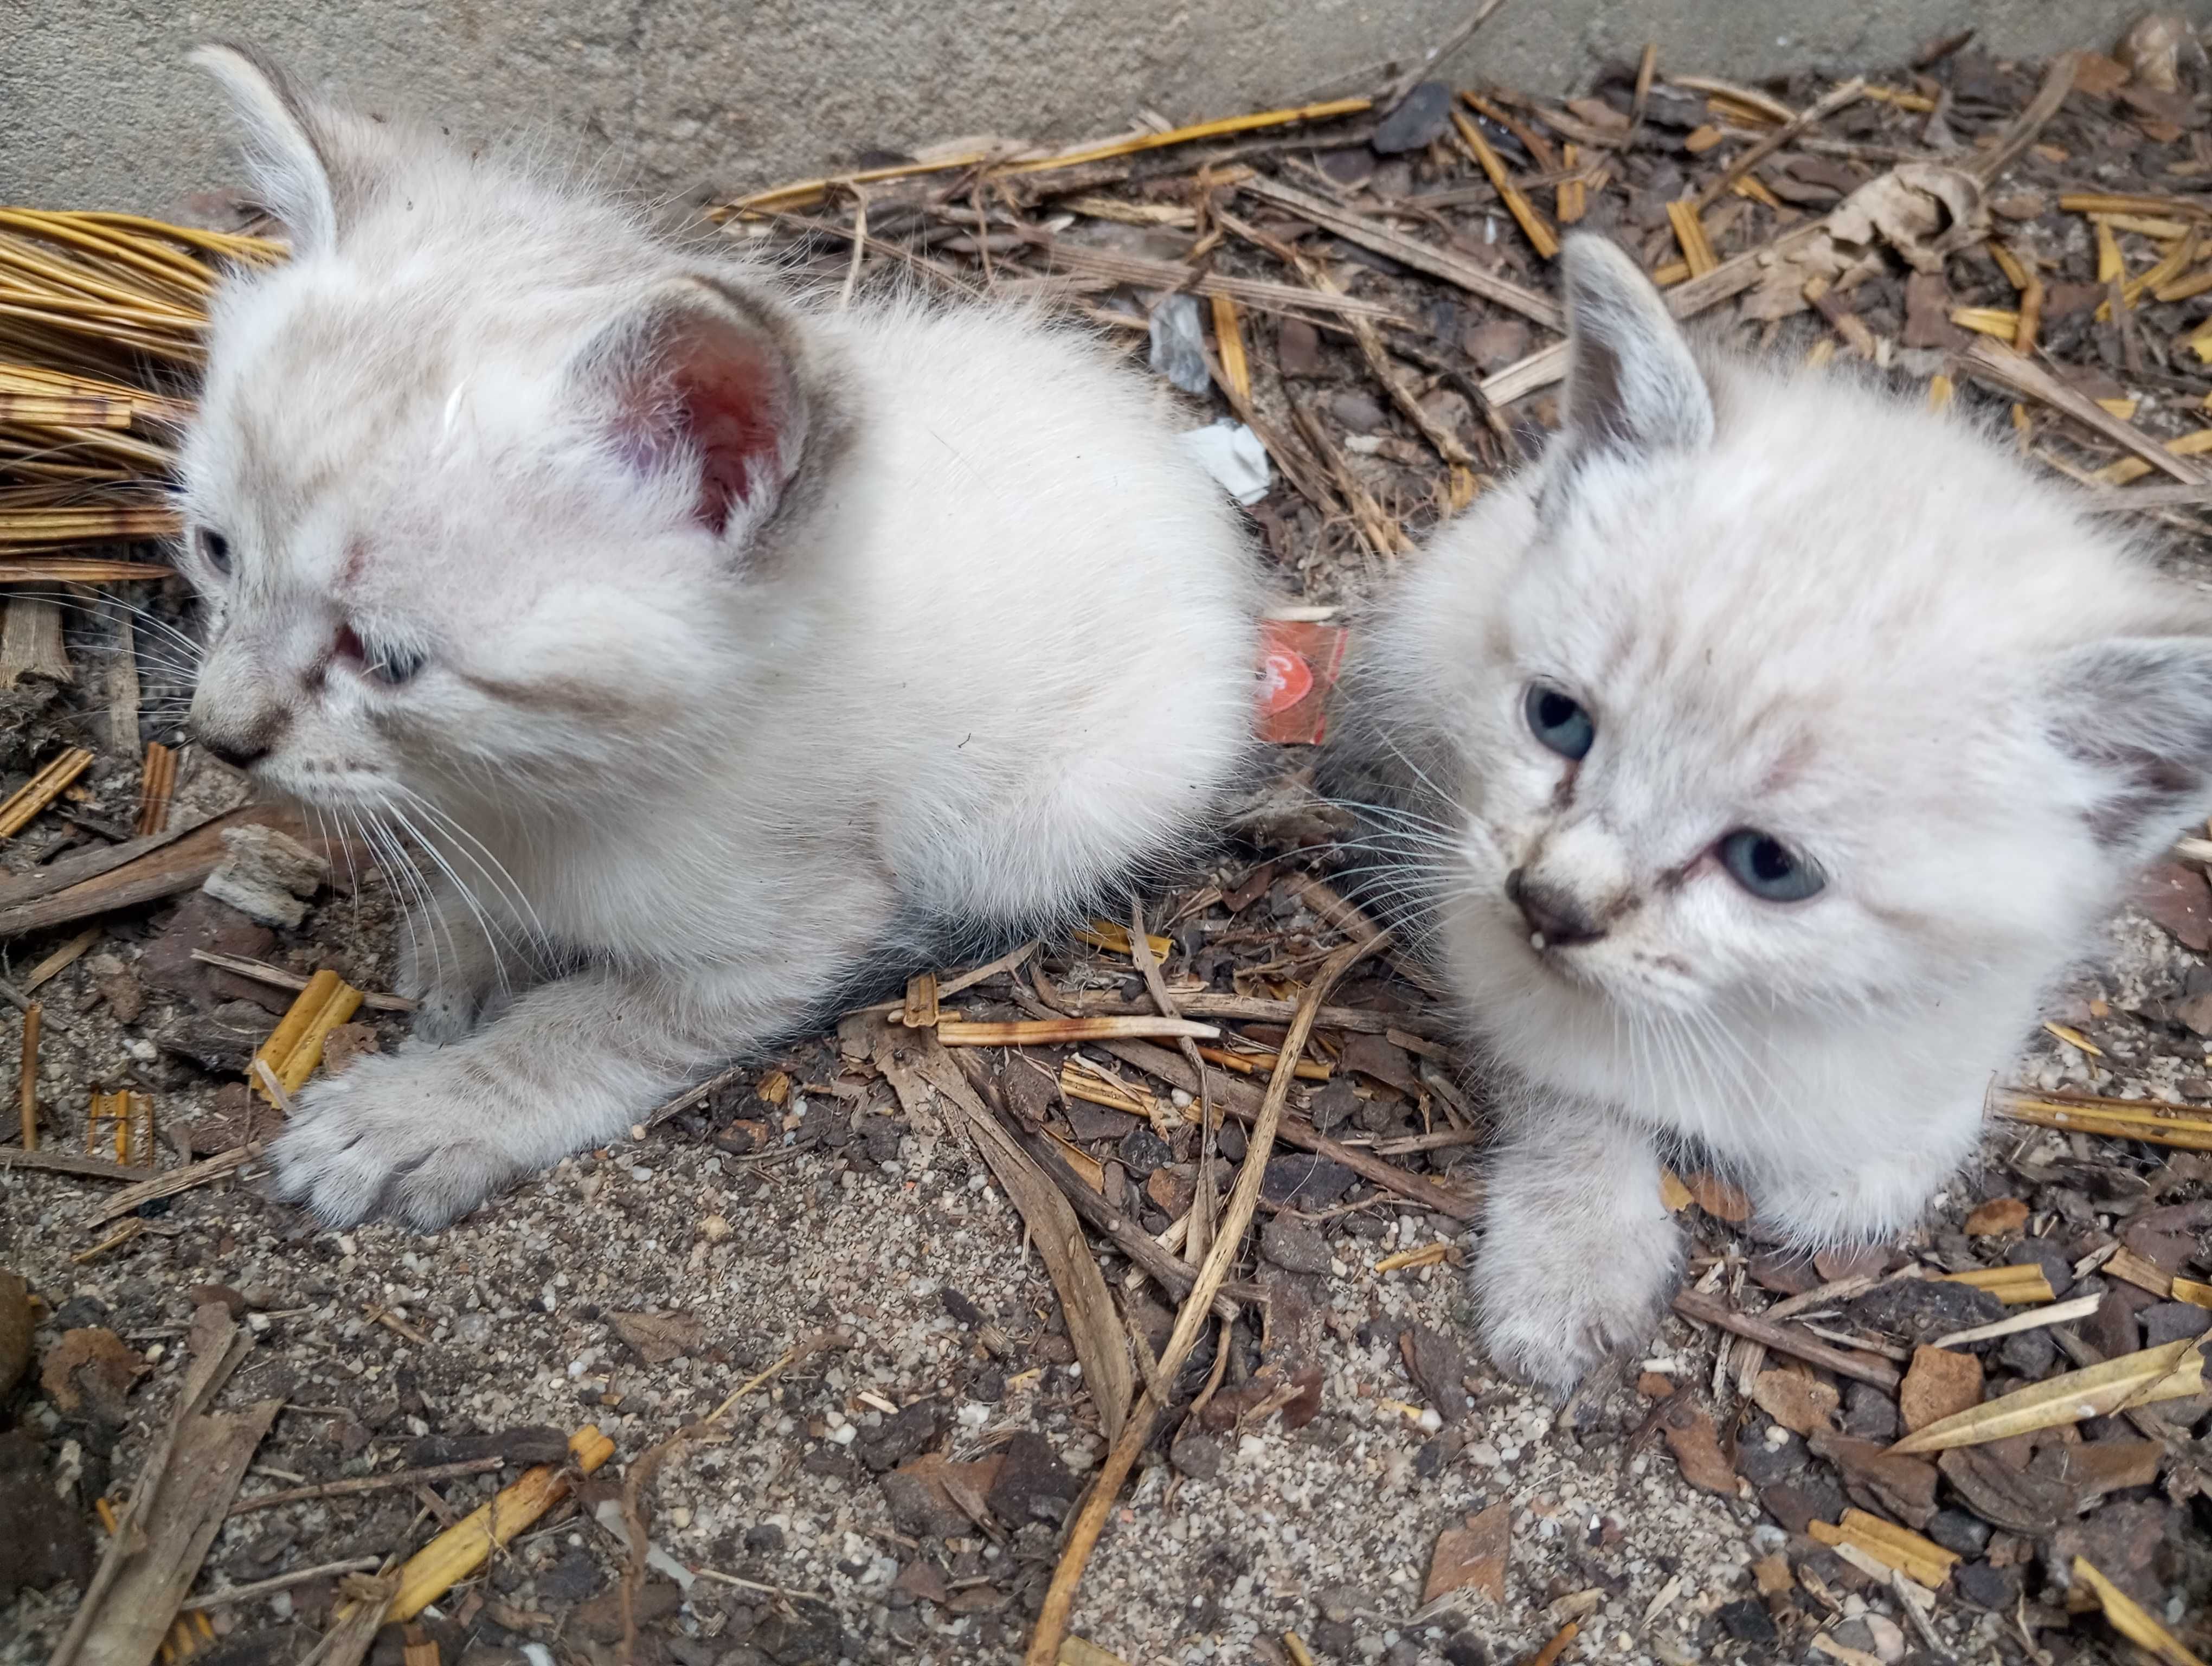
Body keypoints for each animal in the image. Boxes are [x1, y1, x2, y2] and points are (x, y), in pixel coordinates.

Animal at [177, 45, 1265, 1230]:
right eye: (216, 551)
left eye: (386, 658)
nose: (217, 734)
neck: (551, 782)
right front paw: (467, 933)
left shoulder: (791, 933)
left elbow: (586, 1028)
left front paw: (418, 1114)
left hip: (1048, 818)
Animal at [1318, 225, 2212, 1389]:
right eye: (1558, 720)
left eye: (1770, 866)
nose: (1549, 904)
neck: (1755, 1015)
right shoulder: (1493, 937)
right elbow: (1573, 1091)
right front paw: (1572, 1255)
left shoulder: (1988, 988)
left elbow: (1930, 1111)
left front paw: (1856, 1169)